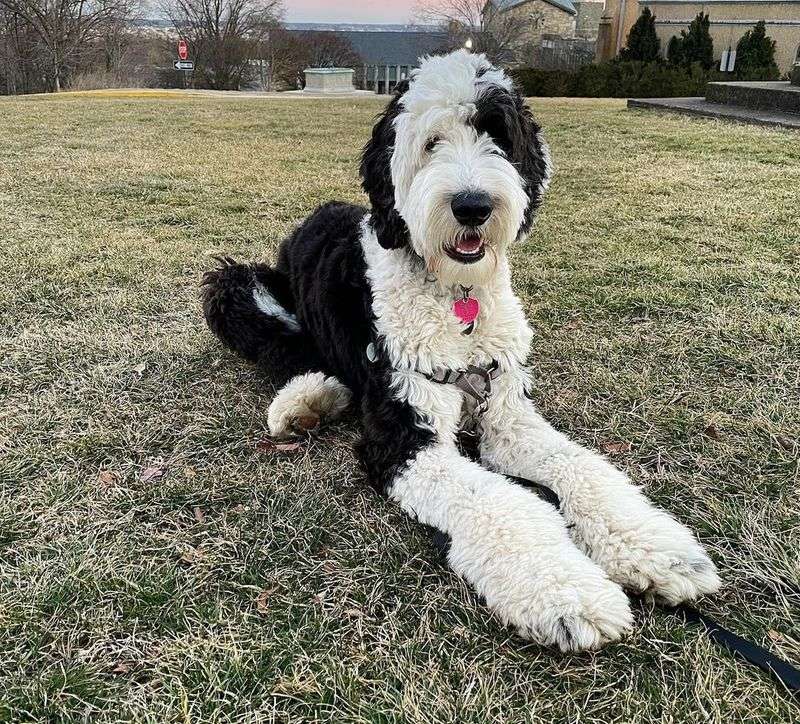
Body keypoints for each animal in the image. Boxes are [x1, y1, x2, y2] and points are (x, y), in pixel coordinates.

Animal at [203, 51, 720, 652]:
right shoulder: (405, 436)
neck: (457, 299)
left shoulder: (507, 414)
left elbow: (581, 465)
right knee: (288, 349)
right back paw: (307, 399)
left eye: (497, 136)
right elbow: (500, 499)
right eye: (432, 142)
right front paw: (565, 593)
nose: (473, 205)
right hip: (238, 286)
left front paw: (659, 550)